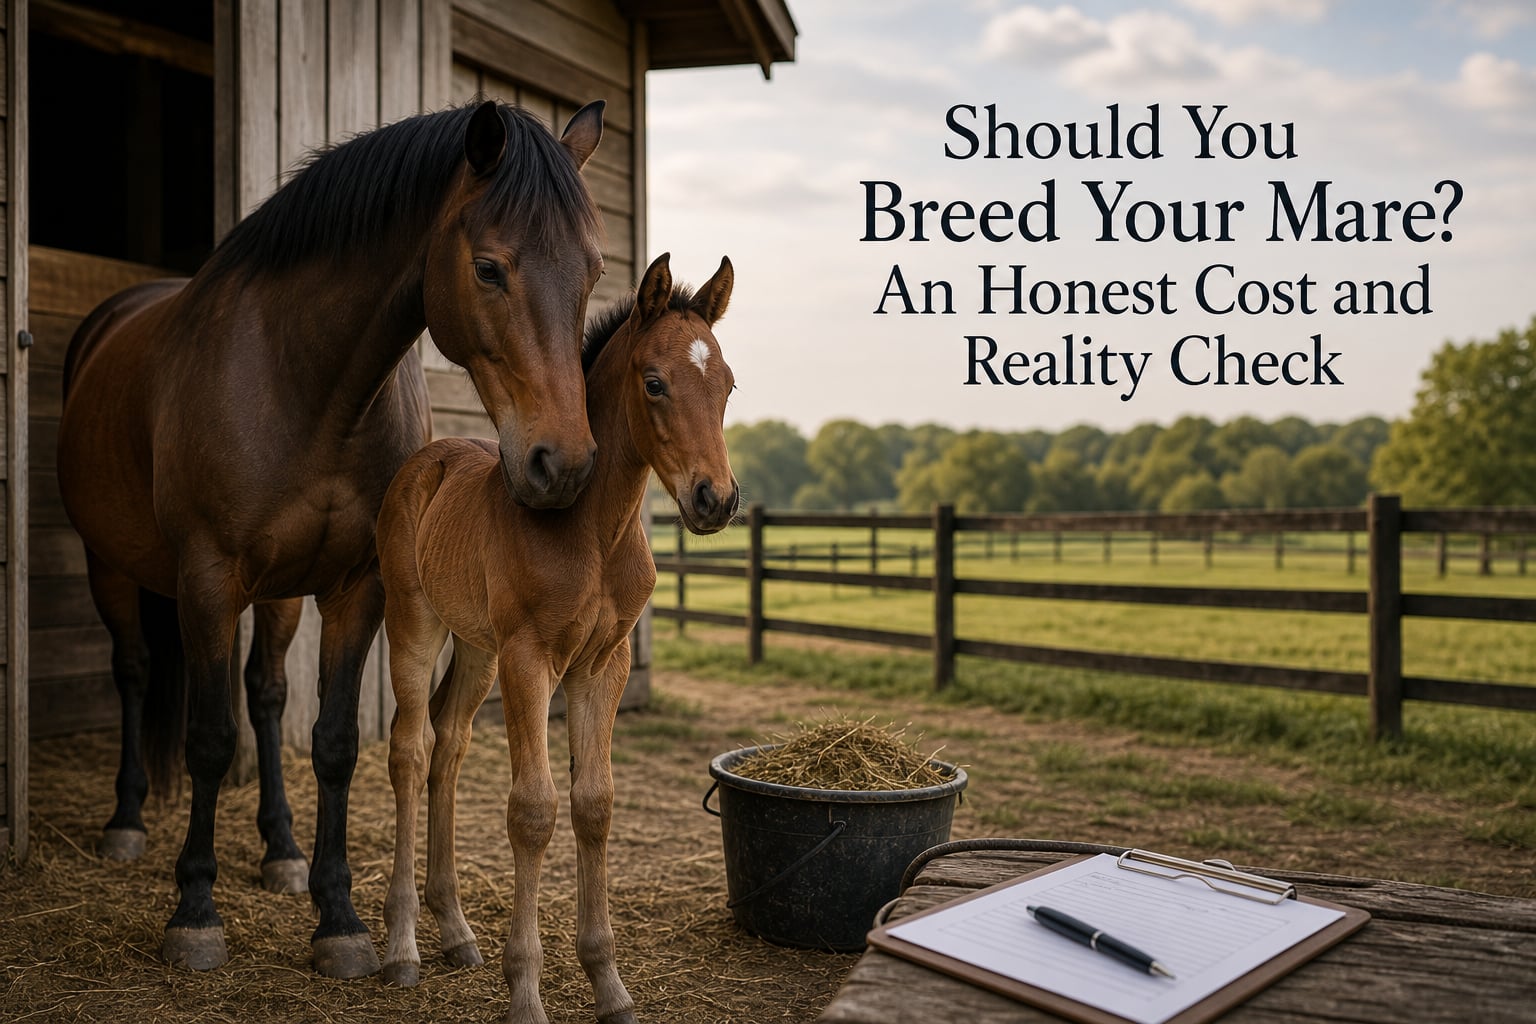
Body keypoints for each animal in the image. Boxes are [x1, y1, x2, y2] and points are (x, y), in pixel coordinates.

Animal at [55, 99, 608, 979]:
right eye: (490, 269)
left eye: (590, 272)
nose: (563, 465)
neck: (301, 378)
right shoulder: (208, 580)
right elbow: (210, 739)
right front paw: (195, 911)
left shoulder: (357, 587)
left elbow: (334, 741)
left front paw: (338, 918)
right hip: (109, 563)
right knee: (137, 673)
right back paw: (128, 822)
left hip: (279, 594)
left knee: (268, 692)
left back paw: (279, 849)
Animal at [376, 253, 738, 1023]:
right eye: (654, 382)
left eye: (726, 384)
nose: (715, 499)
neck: (595, 531)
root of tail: (431, 457)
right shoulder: (530, 658)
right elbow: (533, 810)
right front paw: (526, 992)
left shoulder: (604, 663)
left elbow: (593, 804)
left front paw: (610, 986)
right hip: (415, 622)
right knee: (409, 749)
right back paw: (402, 947)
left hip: (476, 649)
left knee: (450, 747)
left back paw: (455, 930)